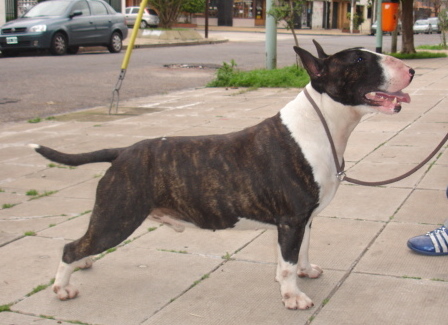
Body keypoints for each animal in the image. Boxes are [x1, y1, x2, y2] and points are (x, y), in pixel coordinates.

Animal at [31, 41, 414, 308]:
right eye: (360, 61)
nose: (411, 70)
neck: (321, 124)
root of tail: (123, 152)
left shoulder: (303, 219)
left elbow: (300, 252)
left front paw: (305, 272)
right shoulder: (291, 219)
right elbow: (286, 264)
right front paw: (293, 297)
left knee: (83, 243)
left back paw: (84, 262)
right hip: (119, 216)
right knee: (70, 247)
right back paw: (63, 287)